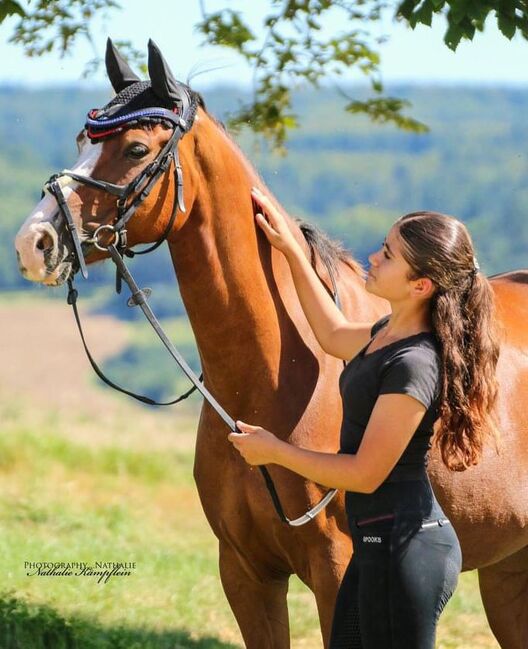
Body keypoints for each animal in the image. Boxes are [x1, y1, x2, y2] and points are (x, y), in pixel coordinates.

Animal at [13, 43, 528, 644]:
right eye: (81, 140)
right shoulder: (244, 571)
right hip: (507, 573)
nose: (33, 243)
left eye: (135, 147)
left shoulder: (335, 573)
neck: (275, 379)